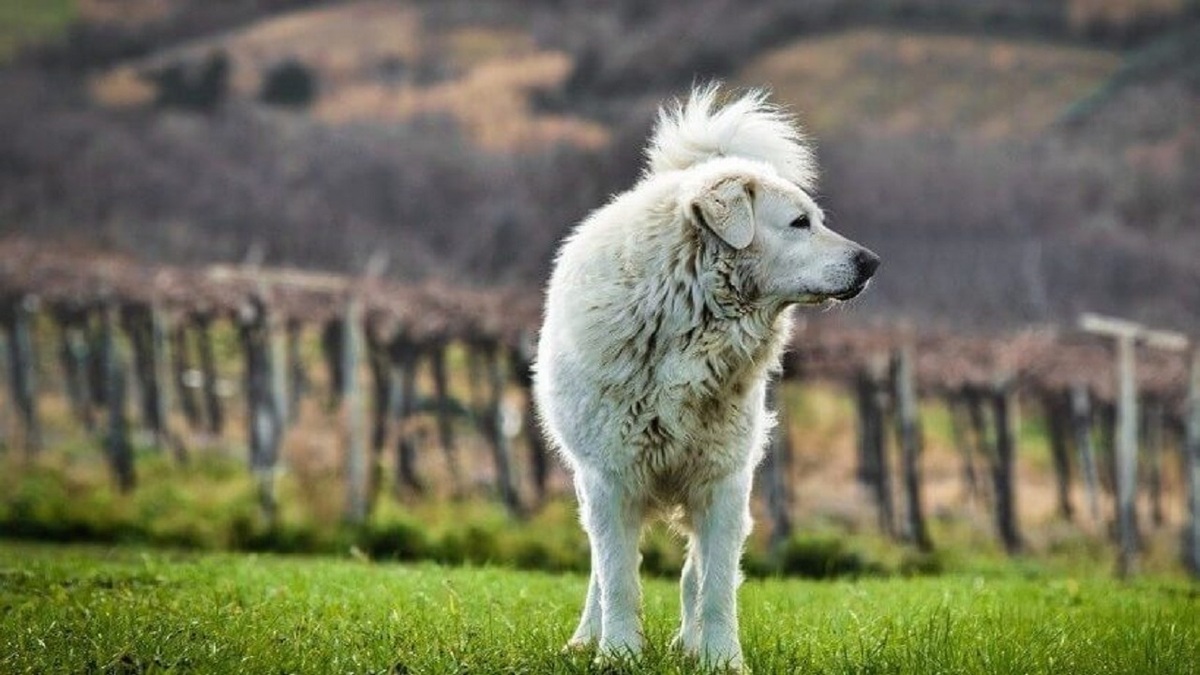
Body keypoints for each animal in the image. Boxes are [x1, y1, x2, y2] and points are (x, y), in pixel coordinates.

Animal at [535, 85, 883, 667]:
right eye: (799, 223)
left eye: (815, 219)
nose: (872, 262)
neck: (686, 323)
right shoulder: (611, 480)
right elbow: (619, 580)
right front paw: (619, 655)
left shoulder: (723, 481)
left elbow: (717, 585)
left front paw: (722, 661)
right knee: (602, 574)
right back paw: (587, 637)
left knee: (693, 574)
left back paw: (689, 645)